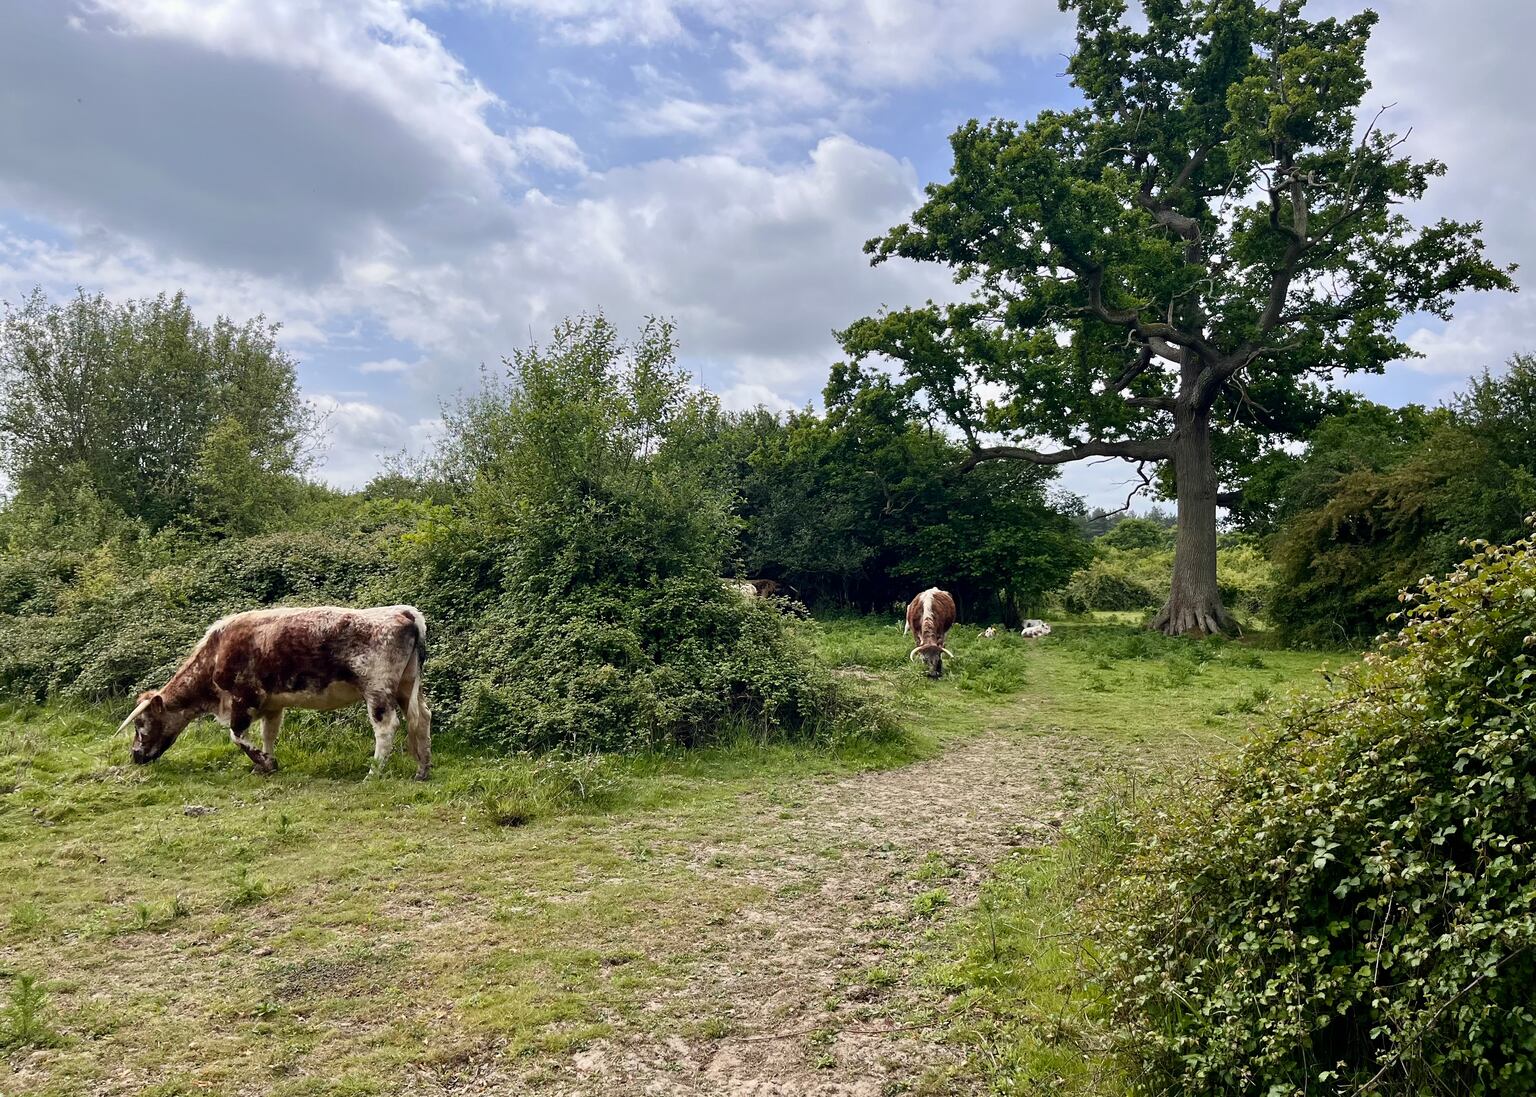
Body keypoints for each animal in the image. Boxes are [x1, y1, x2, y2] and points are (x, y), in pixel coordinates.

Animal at [118, 605, 432, 780]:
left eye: (140, 723)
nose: (134, 755)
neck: (217, 653)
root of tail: (403, 612)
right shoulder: (272, 704)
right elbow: (268, 733)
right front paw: (265, 764)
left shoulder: (244, 698)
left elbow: (237, 736)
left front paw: (264, 762)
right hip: (407, 687)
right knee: (422, 719)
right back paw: (423, 769)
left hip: (377, 691)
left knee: (386, 728)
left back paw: (374, 772)